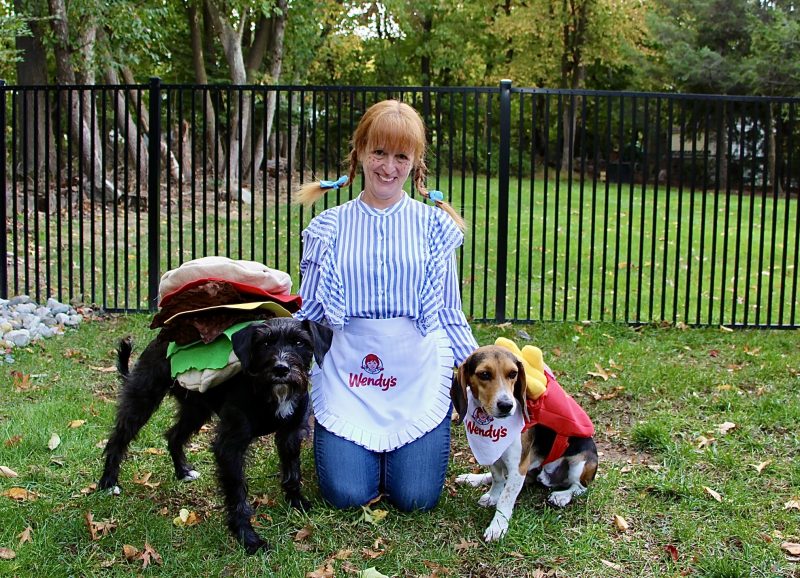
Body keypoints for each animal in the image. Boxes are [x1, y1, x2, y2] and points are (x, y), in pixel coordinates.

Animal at [98, 318, 332, 552]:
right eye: (265, 343)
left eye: (300, 342)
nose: (281, 368)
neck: (266, 391)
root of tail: (161, 338)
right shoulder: (230, 445)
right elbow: (237, 491)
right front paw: (248, 537)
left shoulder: (291, 434)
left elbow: (292, 471)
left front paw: (297, 502)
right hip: (143, 399)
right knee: (117, 440)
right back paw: (108, 483)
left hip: (196, 411)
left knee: (173, 436)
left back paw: (183, 471)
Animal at [454, 346, 596, 540]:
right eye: (484, 374)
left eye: (513, 373)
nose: (506, 405)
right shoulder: (496, 458)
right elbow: (498, 479)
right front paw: (492, 496)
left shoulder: (519, 466)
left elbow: (506, 498)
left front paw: (497, 526)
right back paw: (472, 478)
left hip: (581, 463)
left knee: (580, 487)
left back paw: (562, 496)